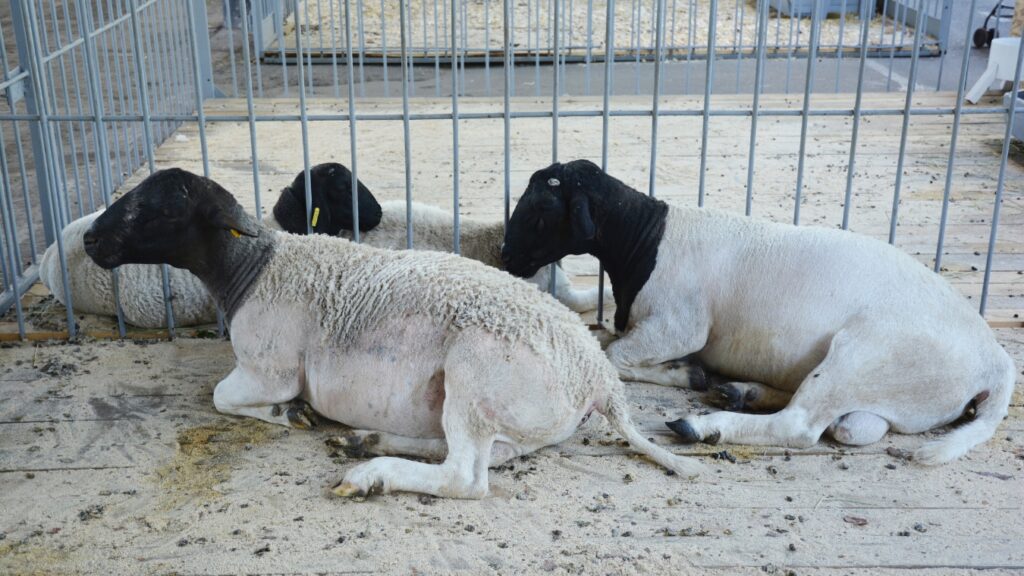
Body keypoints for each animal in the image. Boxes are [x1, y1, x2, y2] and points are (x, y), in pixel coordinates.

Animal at [497, 158, 1015, 463]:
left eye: (541, 211)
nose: (505, 257)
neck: (646, 240)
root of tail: (996, 360)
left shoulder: (680, 326)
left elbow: (615, 353)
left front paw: (683, 373)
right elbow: (608, 342)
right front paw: (692, 375)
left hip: (863, 351)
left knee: (801, 425)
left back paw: (703, 425)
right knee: (850, 425)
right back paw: (742, 392)